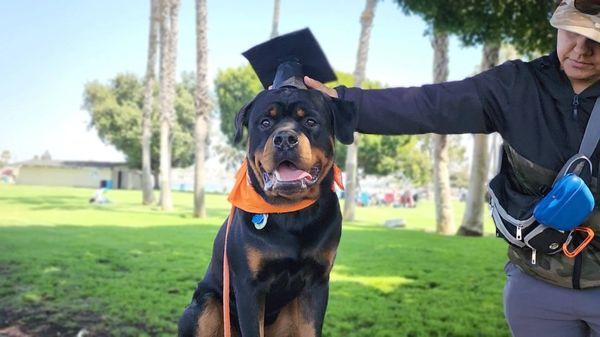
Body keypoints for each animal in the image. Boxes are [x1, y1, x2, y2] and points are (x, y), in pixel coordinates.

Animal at [178, 86, 356, 336]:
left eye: (311, 121)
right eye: (265, 122)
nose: (285, 139)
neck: (292, 216)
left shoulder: (317, 282)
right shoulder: (249, 286)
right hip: (204, 306)